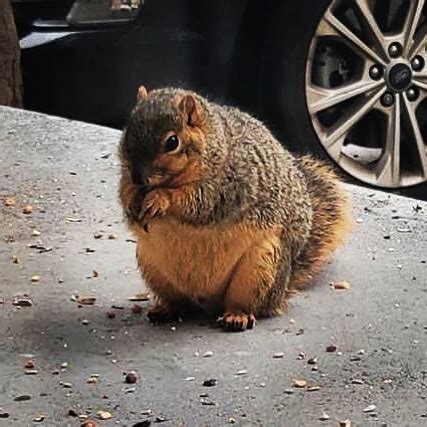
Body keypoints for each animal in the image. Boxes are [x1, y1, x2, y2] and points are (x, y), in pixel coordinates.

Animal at [118, 85, 352, 332]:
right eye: (127, 133)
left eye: (172, 142)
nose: (139, 177)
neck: (215, 144)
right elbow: (123, 190)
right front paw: (132, 200)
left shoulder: (229, 184)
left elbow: (200, 202)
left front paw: (160, 199)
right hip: (153, 267)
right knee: (180, 303)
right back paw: (166, 309)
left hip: (260, 268)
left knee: (247, 303)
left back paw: (237, 316)